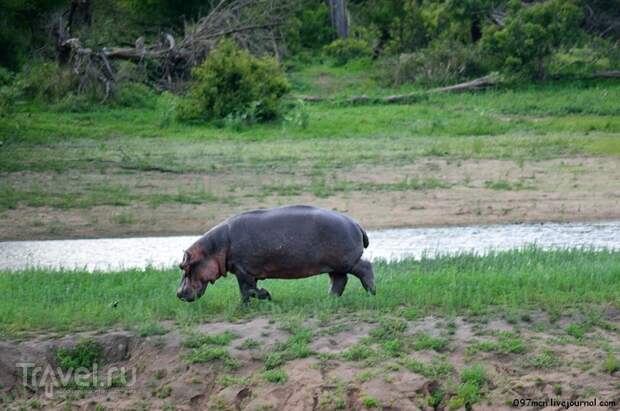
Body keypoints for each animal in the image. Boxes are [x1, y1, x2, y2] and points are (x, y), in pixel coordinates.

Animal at [177, 205, 376, 304]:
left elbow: (249, 290)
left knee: (365, 268)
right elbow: (245, 292)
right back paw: (329, 299)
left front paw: (267, 295)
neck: (214, 248)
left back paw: (371, 293)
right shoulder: (243, 272)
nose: (178, 293)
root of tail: (356, 223)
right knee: (339, 280)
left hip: (346, 261)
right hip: (335, 265)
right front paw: (243, 307)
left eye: (185, 266)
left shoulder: (243, 270)